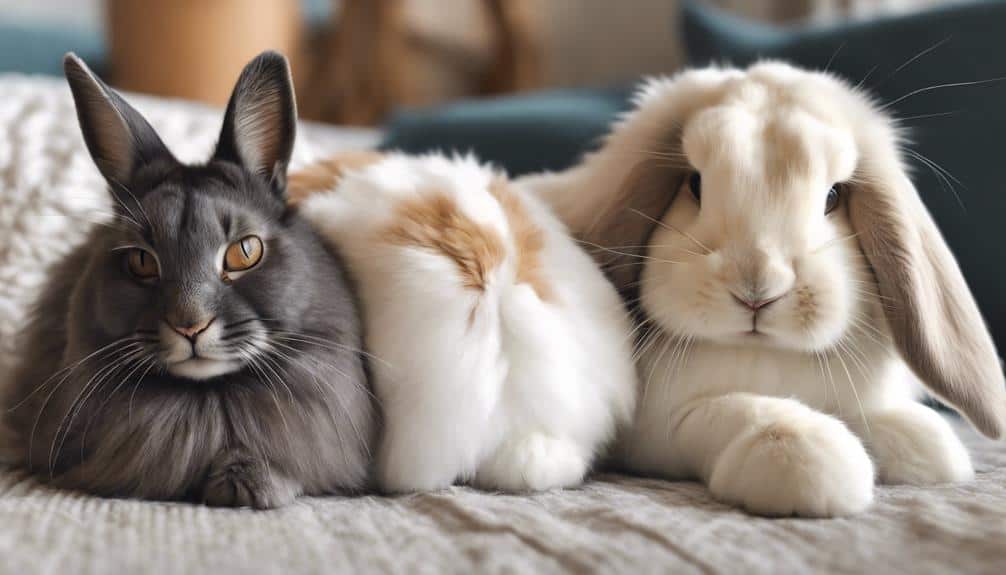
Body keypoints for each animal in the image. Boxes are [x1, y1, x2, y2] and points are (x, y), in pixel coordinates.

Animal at [520, 61, 1006, 517]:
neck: (764, 355)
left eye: (833, 197)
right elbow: (733, 411)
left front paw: (919, 440)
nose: (757, 290)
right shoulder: (657, 429)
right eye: (694, 184)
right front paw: (817, 460)